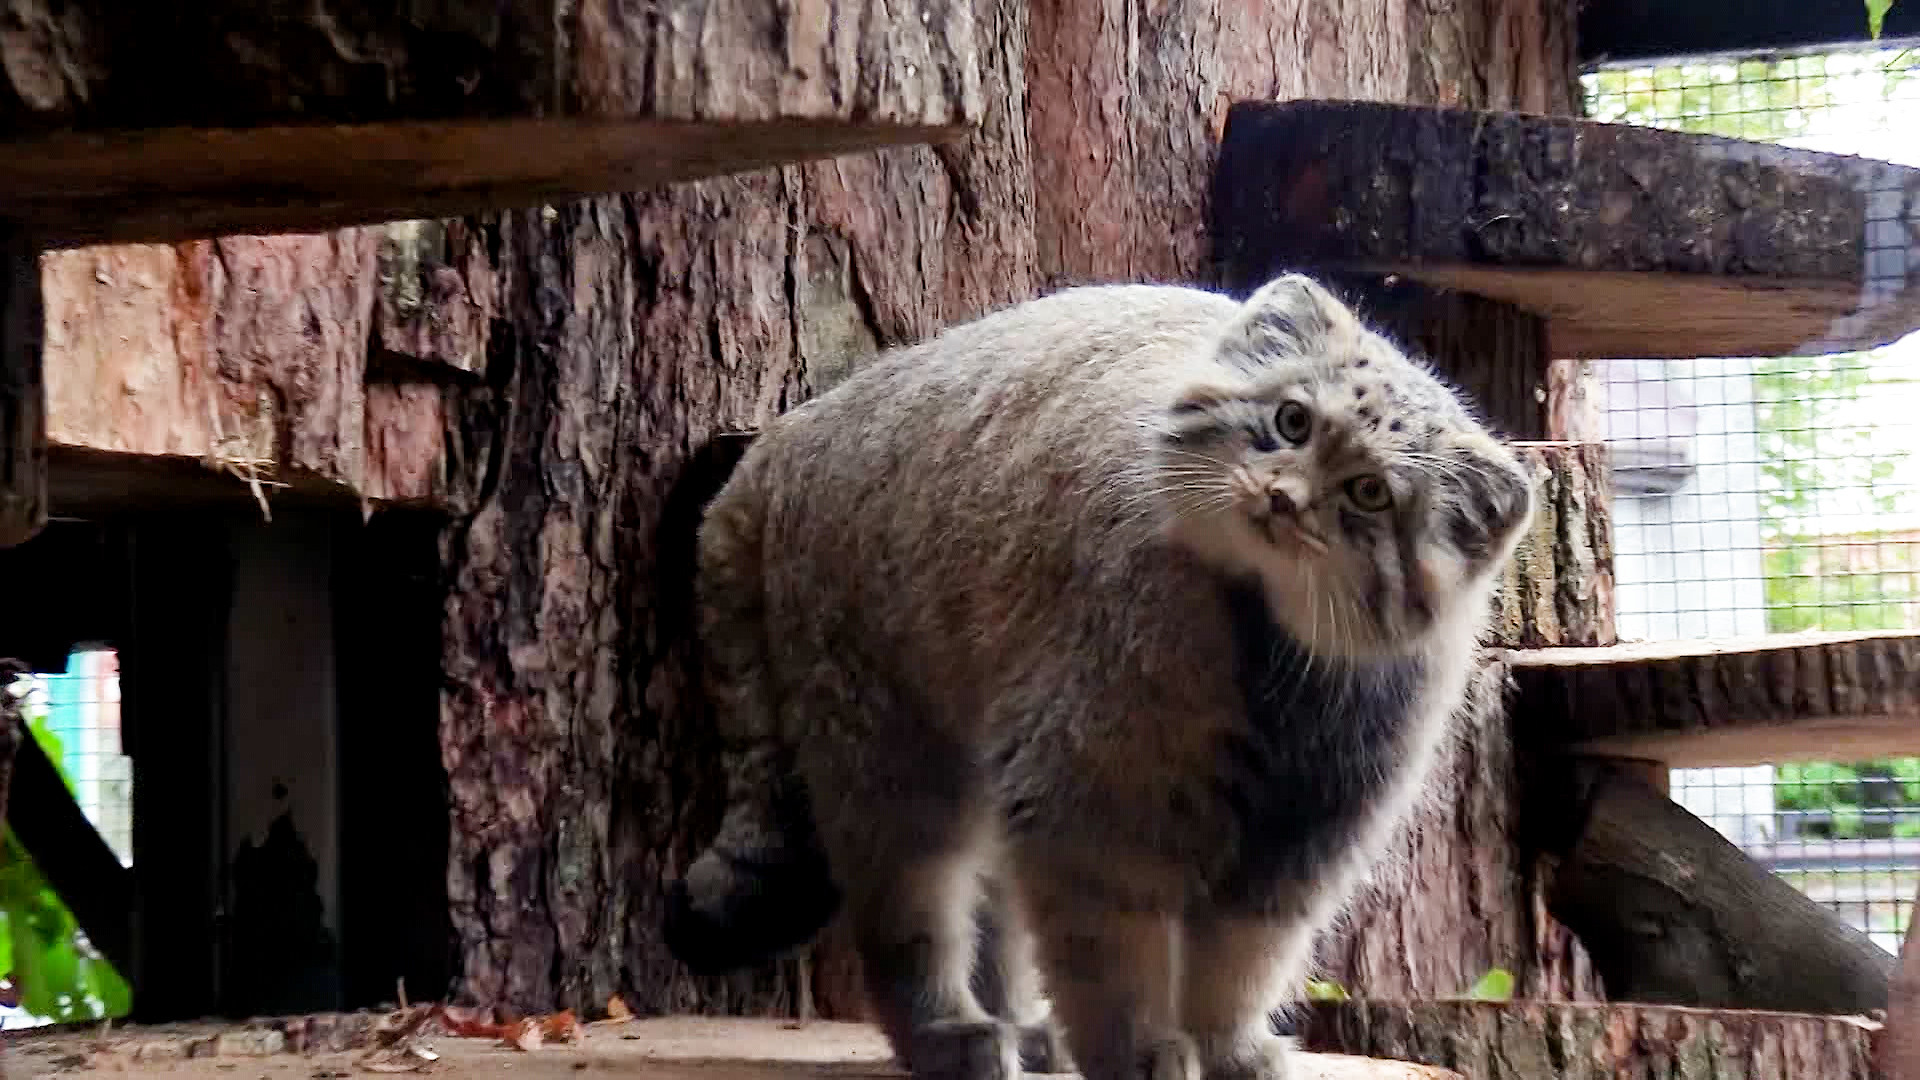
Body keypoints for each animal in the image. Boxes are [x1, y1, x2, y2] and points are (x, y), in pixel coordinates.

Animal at [668, 270, 1536, 1080]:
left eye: (1369, 493)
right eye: (1292, 420)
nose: (1283, 500)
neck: (1267, 643)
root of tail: (789, 433)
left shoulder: (1307, 827)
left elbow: (1241, 958)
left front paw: (1229, 1046)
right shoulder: (1097, 792)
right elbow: (1112, 945)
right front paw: (1133, 1046)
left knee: (994, 905)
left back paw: (1023, 1026)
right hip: (892, 742)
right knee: (911, 905)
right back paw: (947, 1030)